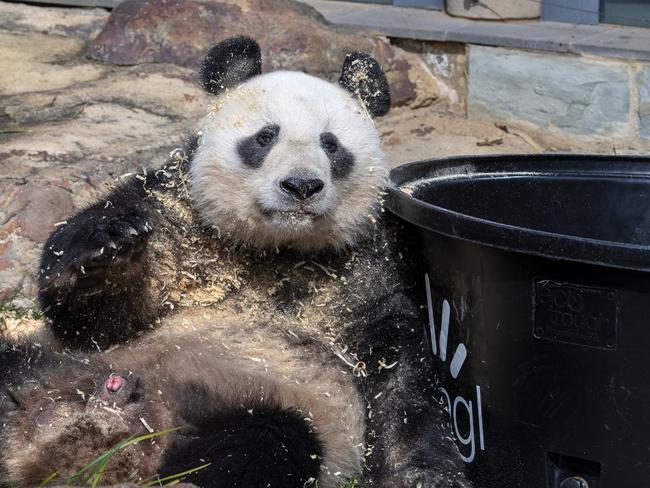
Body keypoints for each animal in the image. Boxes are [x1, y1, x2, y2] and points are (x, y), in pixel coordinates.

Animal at [8, 36, 470, 486]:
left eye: (331, 144)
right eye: (265, 137)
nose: (301, 186)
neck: (275, 250)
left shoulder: (366, 272)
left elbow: (402, 383)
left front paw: (426, 475)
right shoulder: (178, 216)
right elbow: (93, 320)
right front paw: (110, 247)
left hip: (251, 410)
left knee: (268, 442)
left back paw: (174, 468)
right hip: (51, 361)